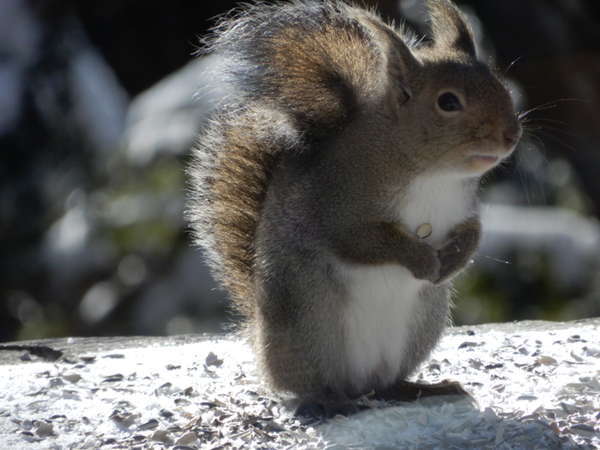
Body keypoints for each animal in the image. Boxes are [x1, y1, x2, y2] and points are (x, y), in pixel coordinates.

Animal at [188, 0, 520, 414]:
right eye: (448, 102)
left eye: (500, 85)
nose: (511, 135)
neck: (432, 175)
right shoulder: (337, 207)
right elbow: (364, 241)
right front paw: (423, 260)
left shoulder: (463, 208)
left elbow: (473, 233)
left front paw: (454, 261)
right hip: (312, 325)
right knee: (314, 384)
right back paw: (333, 401)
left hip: (419, 327)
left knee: (387, 383)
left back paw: (419, 388)